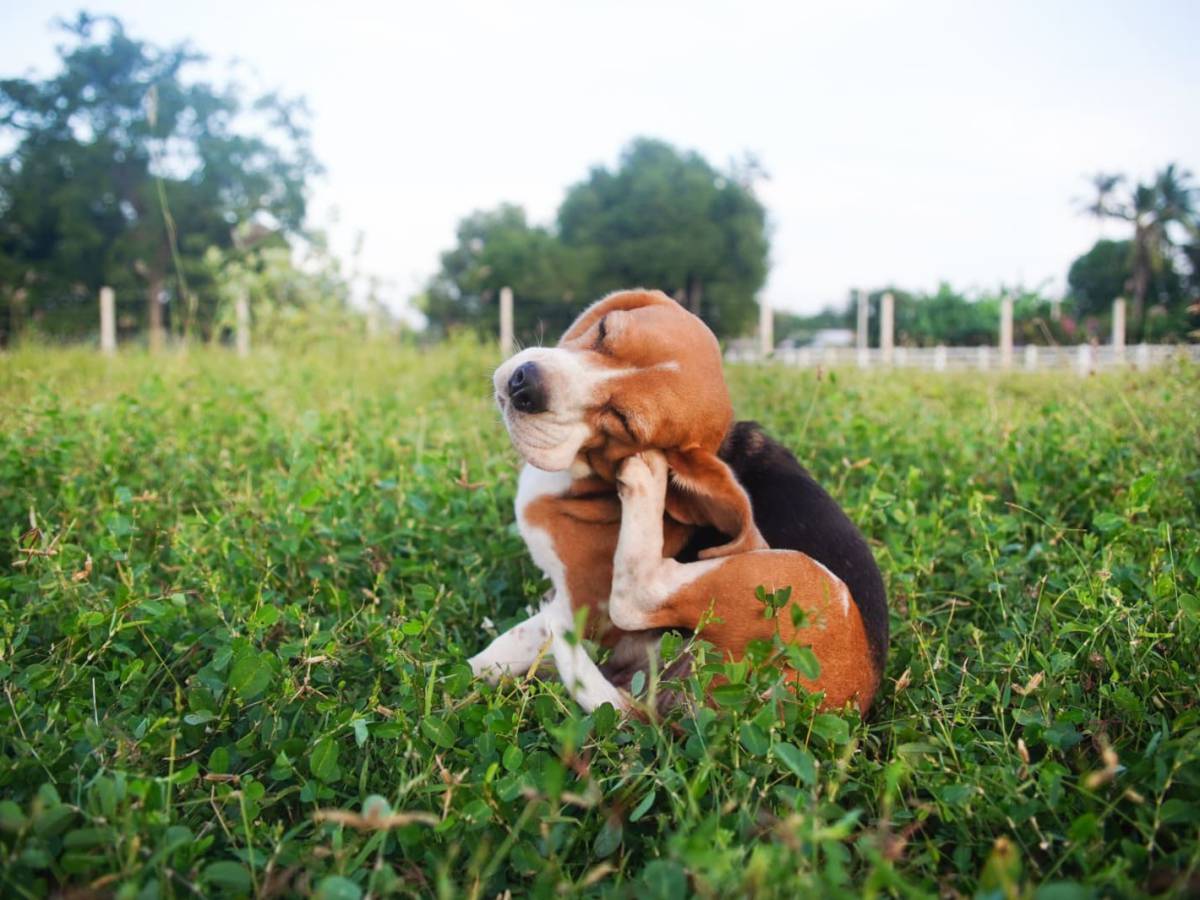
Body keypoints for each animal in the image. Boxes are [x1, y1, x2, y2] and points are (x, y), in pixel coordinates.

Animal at [468, 292, 892, 715]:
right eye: (603, 331)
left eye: (623, 421)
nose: (525, 385)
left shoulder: (585, 607)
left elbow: (531, 633)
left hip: (790, 578)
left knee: (637, 596)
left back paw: (647, 478)